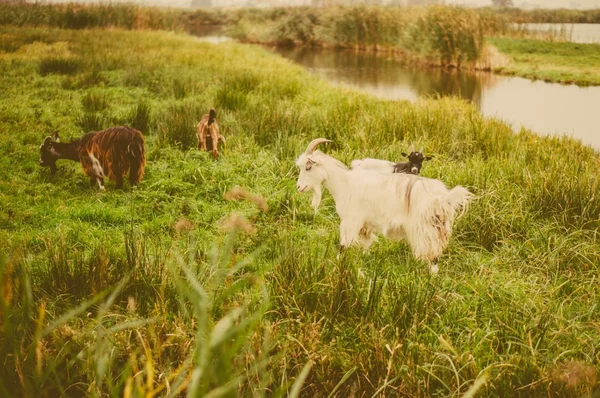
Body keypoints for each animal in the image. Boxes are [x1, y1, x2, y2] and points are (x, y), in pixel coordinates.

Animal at [296, 138, 474, 274]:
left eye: (308, 167)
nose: (299, 187)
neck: (344, 183)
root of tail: (444, 198)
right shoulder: (365, 225)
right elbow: (366, 244)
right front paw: (365, 259)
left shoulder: (351, 221)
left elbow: (343, 246)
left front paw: (337, 265)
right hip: (439, 228)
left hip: (424, 230)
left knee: (430, 255)